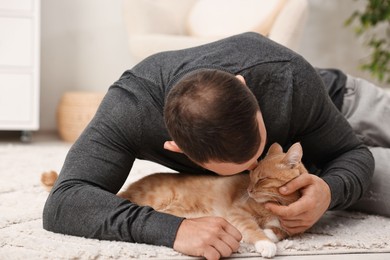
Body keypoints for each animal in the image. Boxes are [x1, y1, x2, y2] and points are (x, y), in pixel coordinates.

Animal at [119, 142, 308, 258]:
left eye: (261, 179)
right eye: (251, 177)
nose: (249, 190)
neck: (276, 204)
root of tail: (129, 188)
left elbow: (283, 231)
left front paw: (269, 233)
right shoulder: (237, 213)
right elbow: (252, 228)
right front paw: (265, 243)